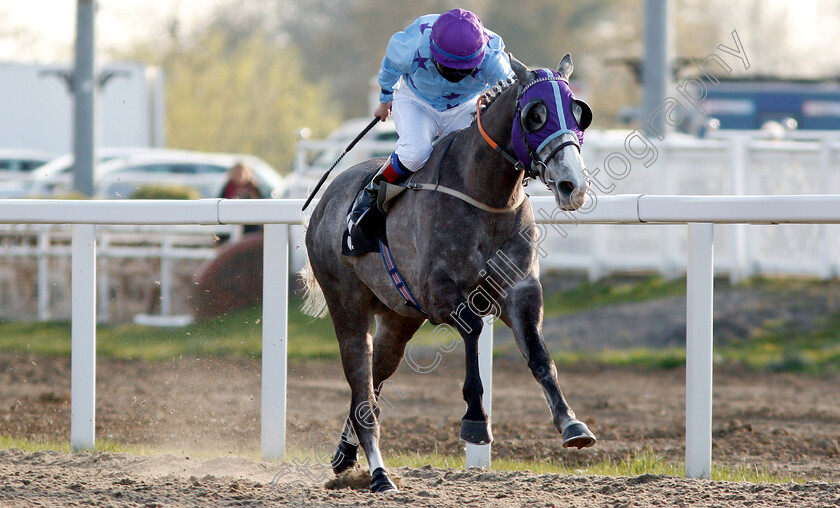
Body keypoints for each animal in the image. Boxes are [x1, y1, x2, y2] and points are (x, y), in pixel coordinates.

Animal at [302, 55, 596, 492]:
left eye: (579, 112)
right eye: (536, 115)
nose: (571, 185)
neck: (486, 196)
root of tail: (325, 202)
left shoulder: (522, 289)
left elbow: (540, 354)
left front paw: (572, 424)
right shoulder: (439, 293)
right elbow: (472, 329)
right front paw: (475, 420)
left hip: (398, 319)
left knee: (371, 385)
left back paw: (346, 453)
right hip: (348, 307)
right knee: (361, 385)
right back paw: (378, 473)